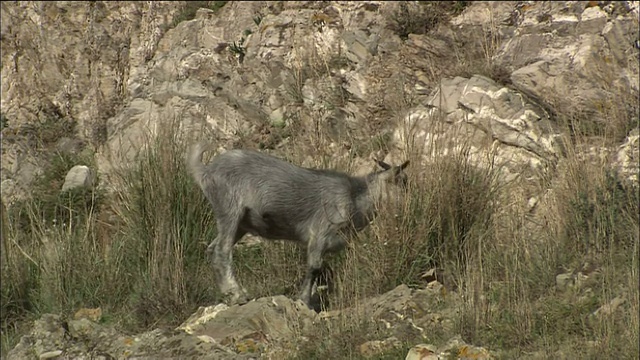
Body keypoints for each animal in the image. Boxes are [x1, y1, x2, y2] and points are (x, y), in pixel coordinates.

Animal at [188, 143, 410, 310]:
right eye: (403, 183)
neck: (355, 199)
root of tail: (206, 171)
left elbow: (321, 271)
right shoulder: (320, 232)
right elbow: (314, 267)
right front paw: (304, 301)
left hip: (240, 224)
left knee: (212, 249)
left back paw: (228, 294)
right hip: (230, 209)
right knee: (222, 251)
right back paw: (237, 295)